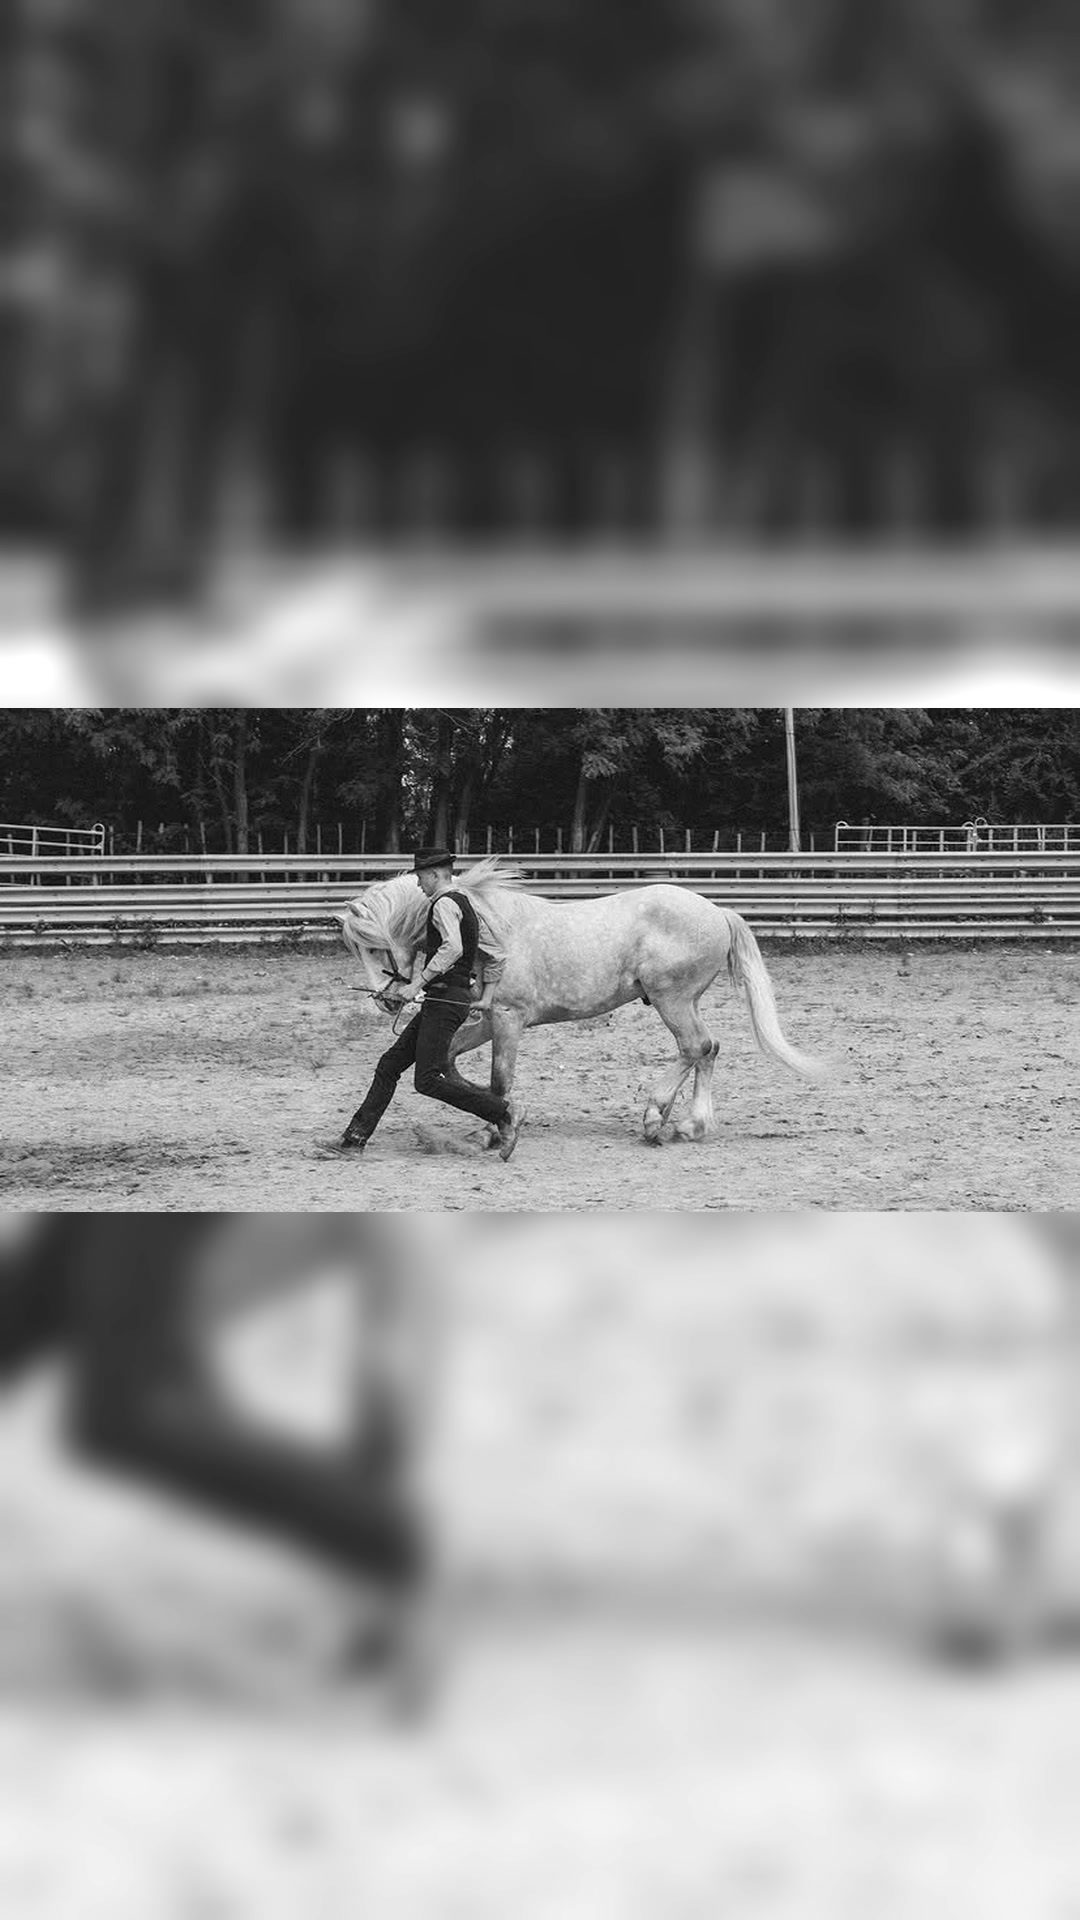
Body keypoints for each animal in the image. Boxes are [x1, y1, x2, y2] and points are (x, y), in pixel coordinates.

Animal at [338, 858, 823, 1144]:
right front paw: (493, 1116)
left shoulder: (508, 1019)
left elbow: (499, 1080)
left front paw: (500, 1127)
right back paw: (690, 1124)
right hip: (687, 1001)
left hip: (671, 999)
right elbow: (452, 1064)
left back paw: (656, 1116)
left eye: (374, 947)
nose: (387, 1001)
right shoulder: (486, 1018)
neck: (488, 926)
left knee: (695, 1047)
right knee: (710, 1048)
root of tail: (716, 912)